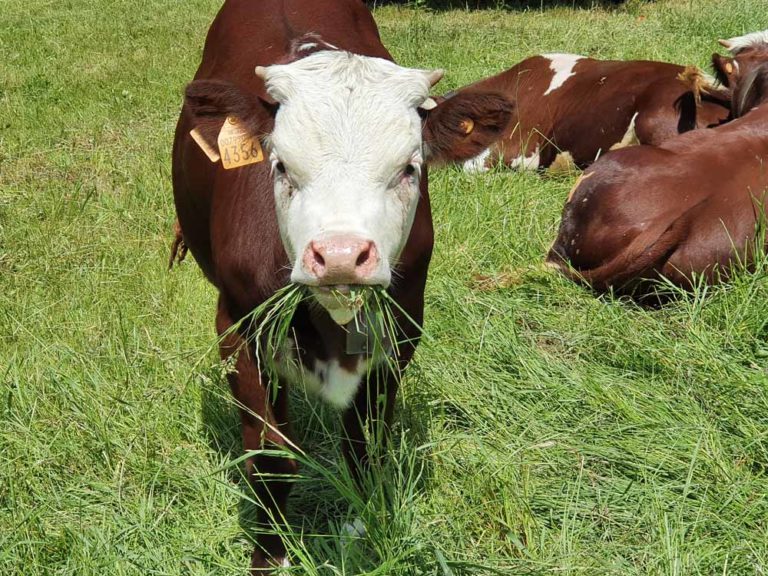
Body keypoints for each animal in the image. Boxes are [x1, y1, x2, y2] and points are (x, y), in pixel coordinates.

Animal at [171, 0, 512, 572]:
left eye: (409, 169)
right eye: (280, 166)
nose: (339, 257)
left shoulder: (400, 332)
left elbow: (366, 445)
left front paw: (363, 525)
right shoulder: (238, 327)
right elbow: (271, 455)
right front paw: (270, 556)